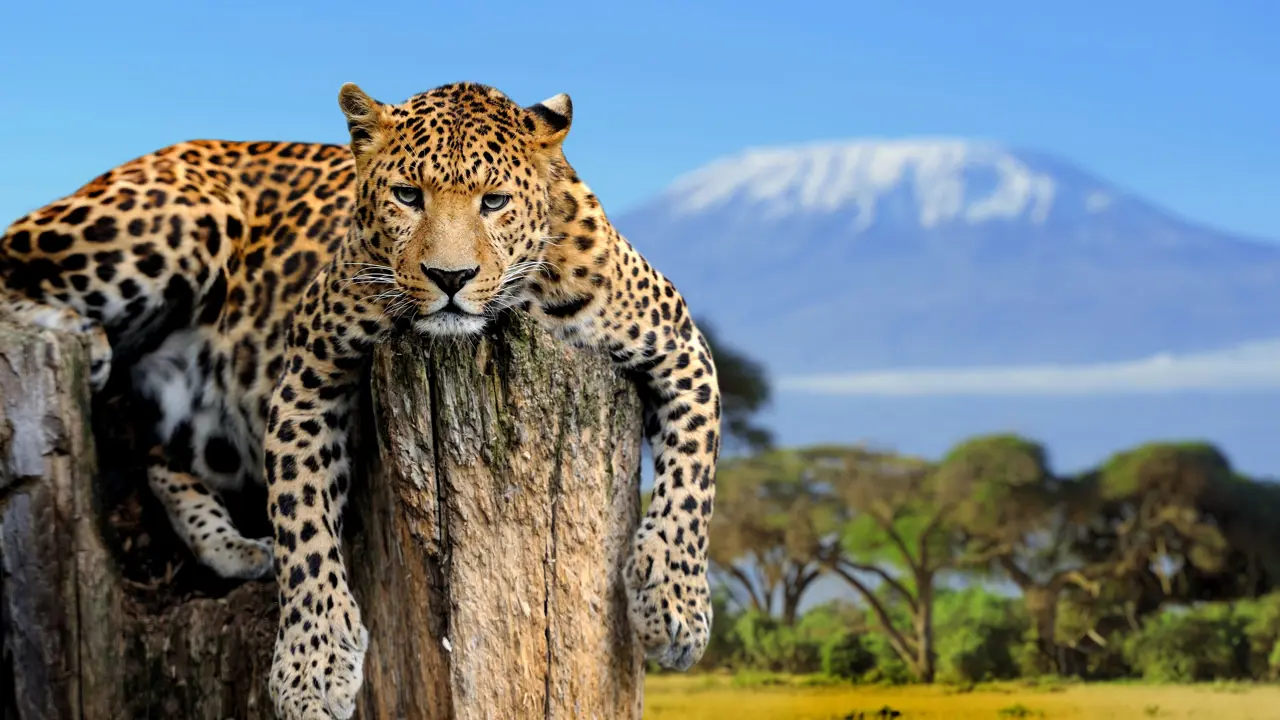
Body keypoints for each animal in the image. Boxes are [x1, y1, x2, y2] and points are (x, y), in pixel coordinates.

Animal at [0, 81, 721, 712]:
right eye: (407, 195)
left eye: (493, 202)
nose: (451, 277)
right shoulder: (307, 373)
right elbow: (303, 522)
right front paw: (313, 669)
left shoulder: (682, 345)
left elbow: (693, 481)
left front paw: (674, 607)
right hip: (177, 218)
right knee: (11, 259)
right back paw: (80, 336)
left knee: (159, 459)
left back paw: (235, 547)